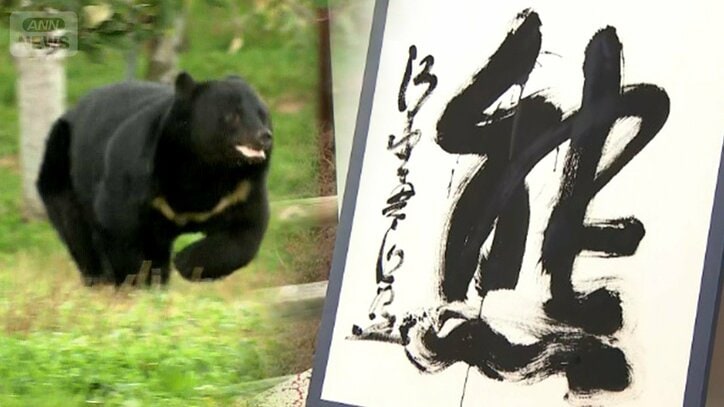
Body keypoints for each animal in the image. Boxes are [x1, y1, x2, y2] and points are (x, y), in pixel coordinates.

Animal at [36, 72, 272, 286]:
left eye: (262, 115)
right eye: (233, 115)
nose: (264, 136)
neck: (206, 167)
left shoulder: (239, 191)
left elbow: (245, 231)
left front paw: (186, 262)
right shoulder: (137, 181)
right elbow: (120, 228)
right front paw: (138, 281)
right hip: (62, 166)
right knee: (77, 231)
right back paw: (100, 278)